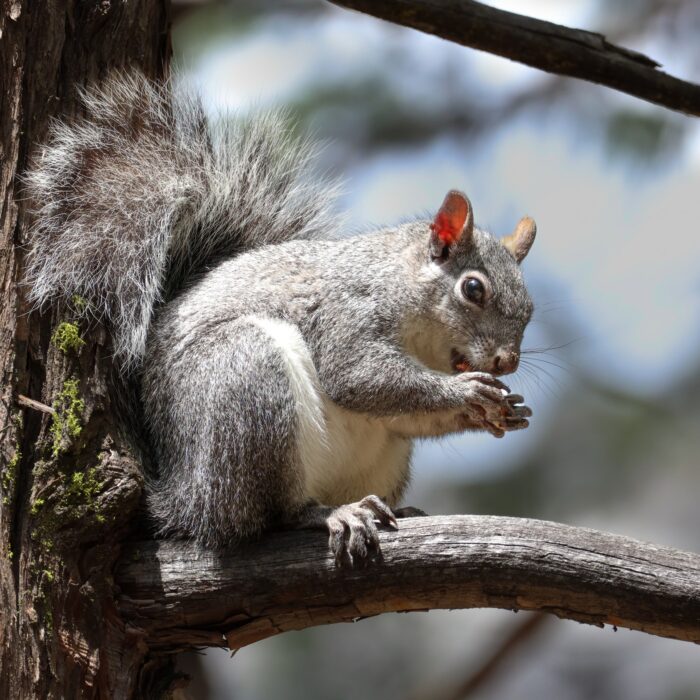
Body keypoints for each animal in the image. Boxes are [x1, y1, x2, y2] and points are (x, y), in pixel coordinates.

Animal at [24, 73, 536, 565]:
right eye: (473, 289)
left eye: (529, 310)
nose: (507, 361)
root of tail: (185, 496)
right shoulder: (346, 312)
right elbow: (358, 377)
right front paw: (466, 392)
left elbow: (405, 415)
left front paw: (502, 409)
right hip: (247, 382)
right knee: (270, 515)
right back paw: (329, 513)